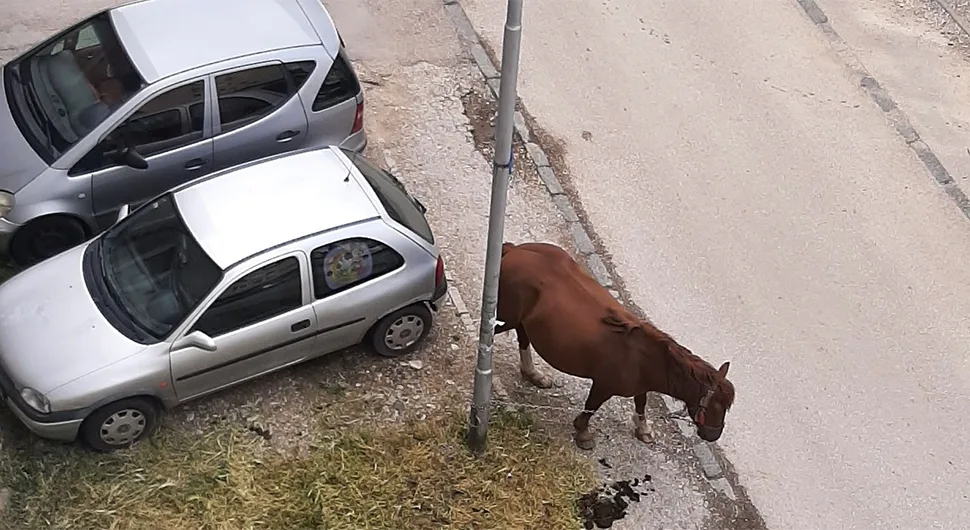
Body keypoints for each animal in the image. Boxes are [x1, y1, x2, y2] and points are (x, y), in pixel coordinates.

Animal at [492, 241, 732, 448]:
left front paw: (643, 429)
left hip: (522, 320)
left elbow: (641, 403)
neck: (642, 358)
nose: (713, 435)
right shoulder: (603, 385)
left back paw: (532, 373)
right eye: (717, 407)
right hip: (507, 316)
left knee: (523, 337)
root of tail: (514, 250)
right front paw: (583, 433)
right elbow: (591, 407)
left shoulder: (640, 385)